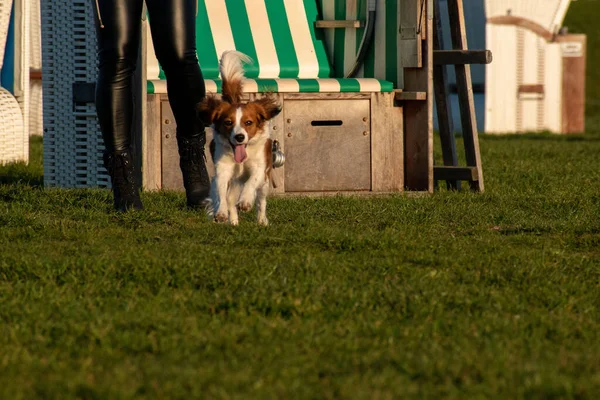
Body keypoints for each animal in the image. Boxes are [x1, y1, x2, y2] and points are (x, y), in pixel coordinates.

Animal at [197, 50, 282, 225]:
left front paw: (245, 202)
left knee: (261, 201)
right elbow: (221, 194)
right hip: (235, 182)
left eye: (248, 122)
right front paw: (221, 213)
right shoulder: (223, 171)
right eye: (228, 122)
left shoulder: (259, 168)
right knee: (230, 199)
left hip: (264, 183)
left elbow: (251, 182)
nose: (240, 137)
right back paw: (234, 222)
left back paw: (261, 221)